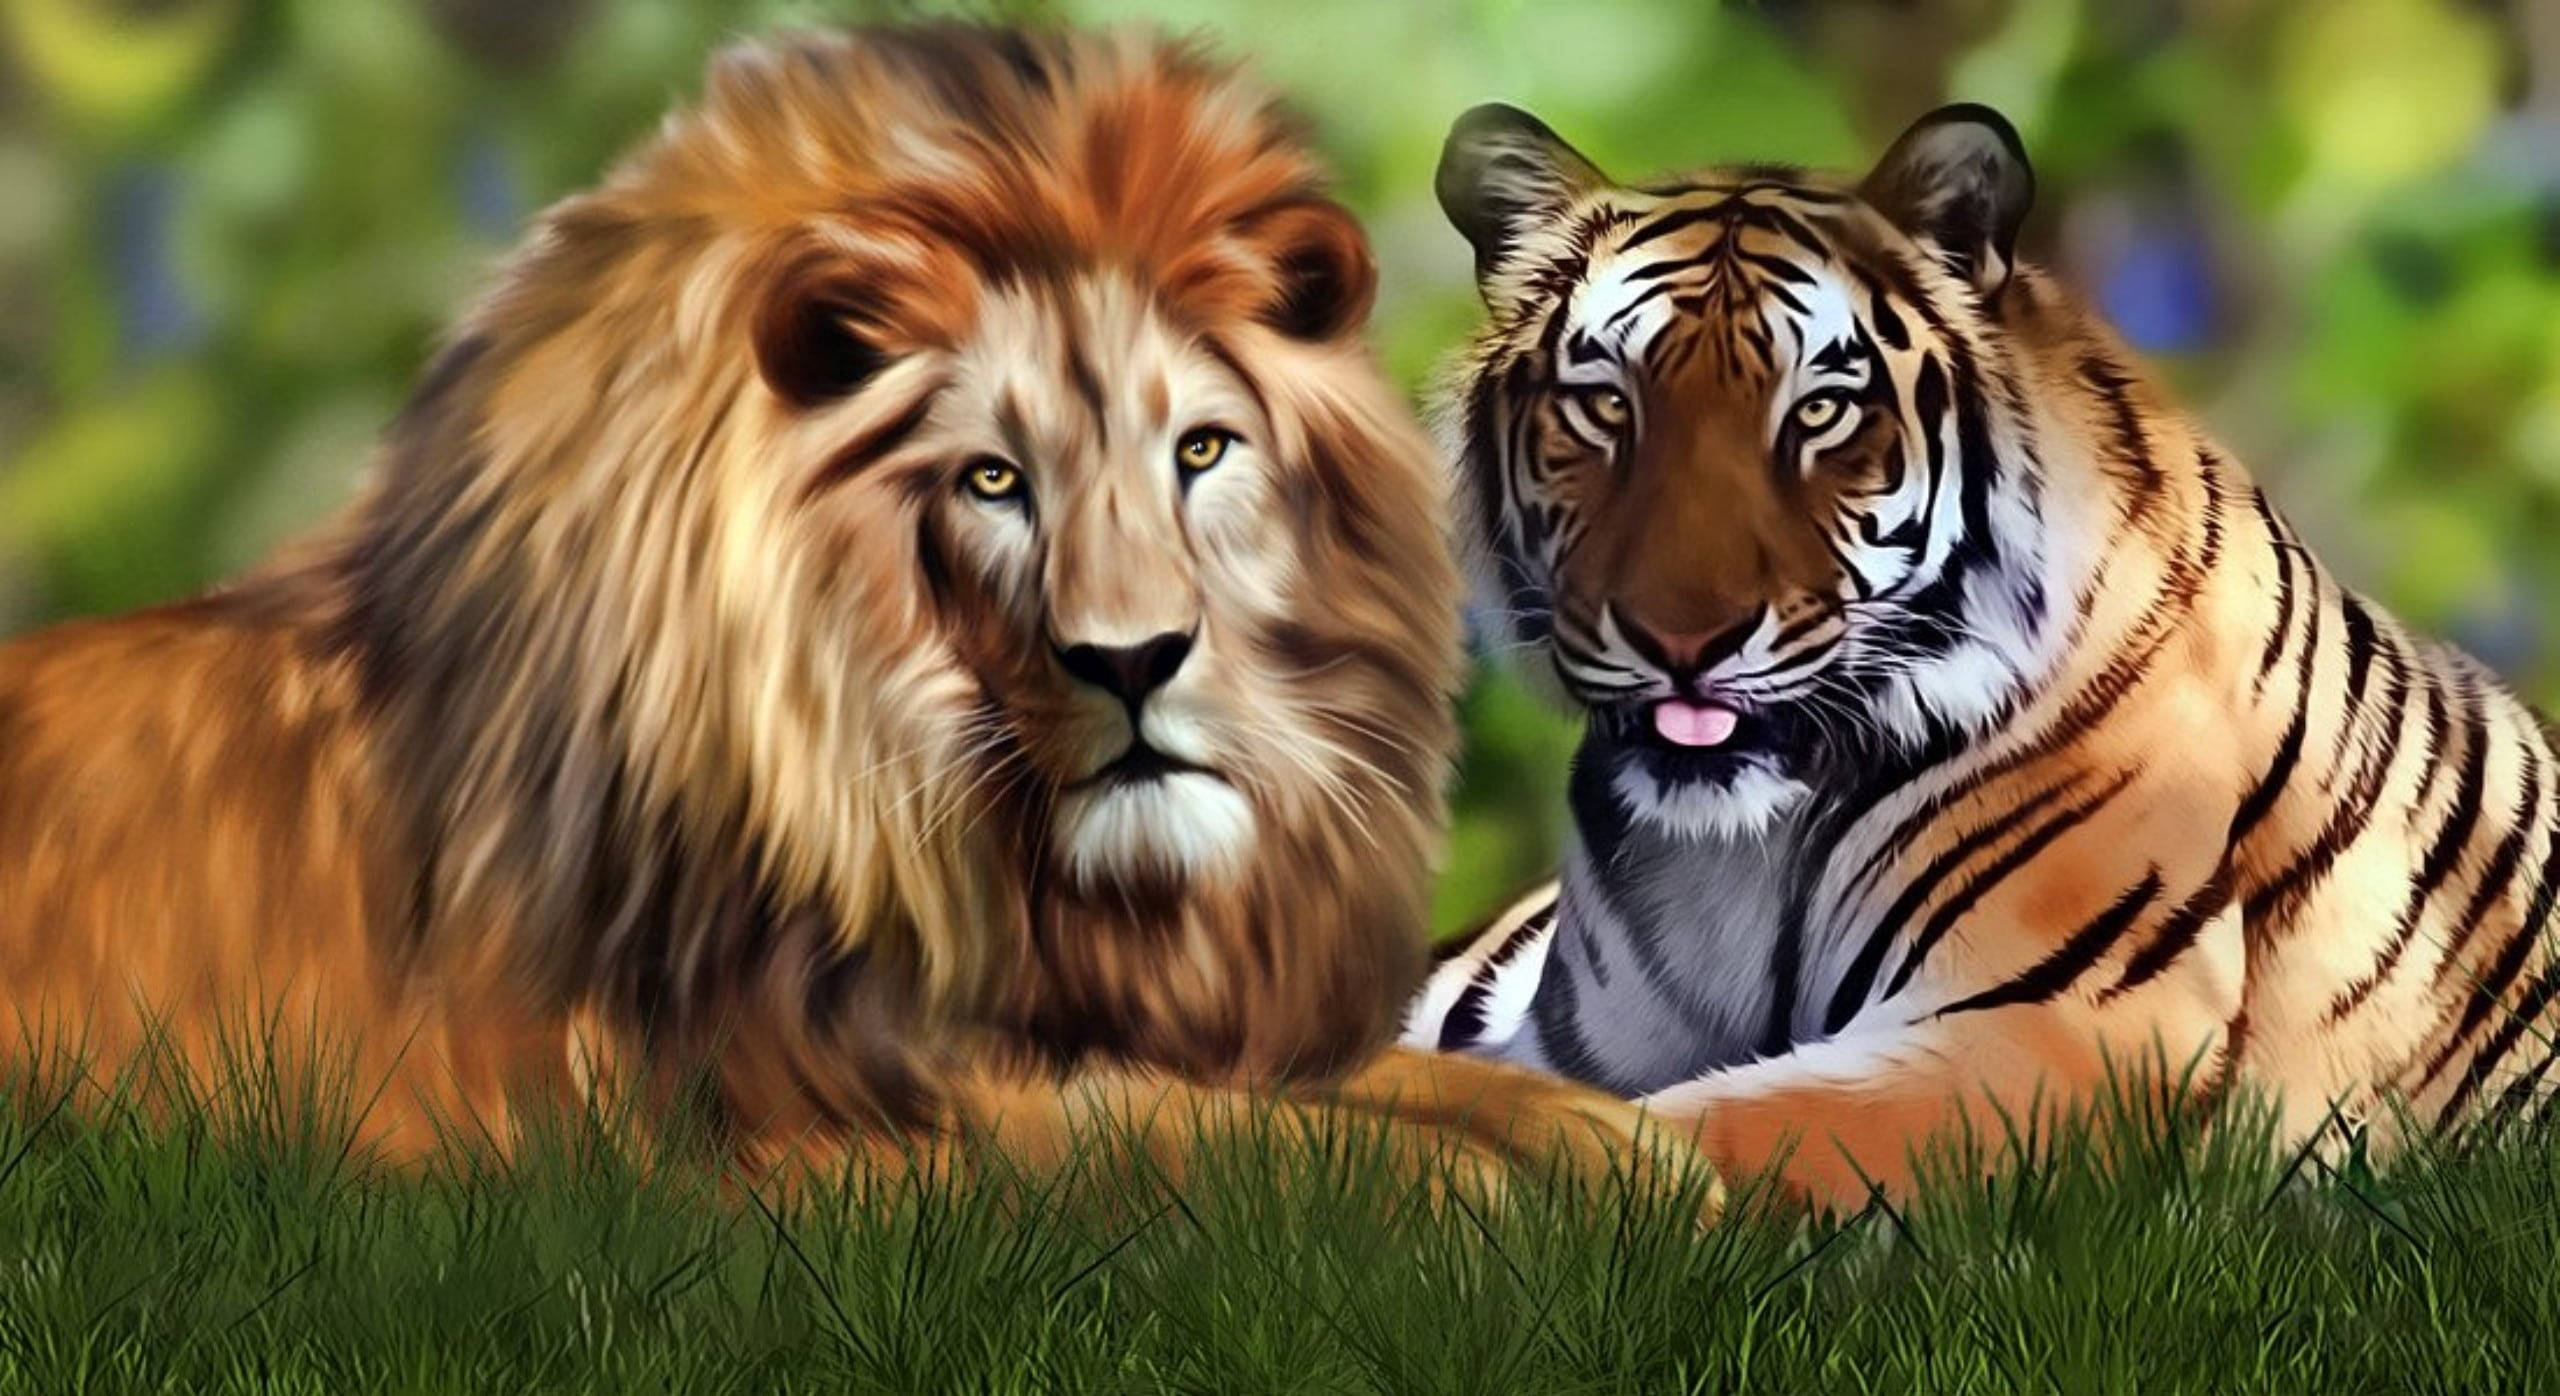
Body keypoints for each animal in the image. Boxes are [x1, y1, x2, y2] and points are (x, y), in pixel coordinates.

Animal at [0, 24, 1696, 1204]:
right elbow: (1215, 1144)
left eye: (1201, 452)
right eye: (994, 478)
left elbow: (1422, 1087)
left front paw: (1628, 1157)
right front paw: (1490, 1194)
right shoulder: (757, 1139)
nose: (1134, 662)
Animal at [1404, 100, 2560, 1207]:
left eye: (1820, 411)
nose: (1681, 638)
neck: (1739, 854)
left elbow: (1722, 1128)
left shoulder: (2067, 1023)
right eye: (1606, 404)